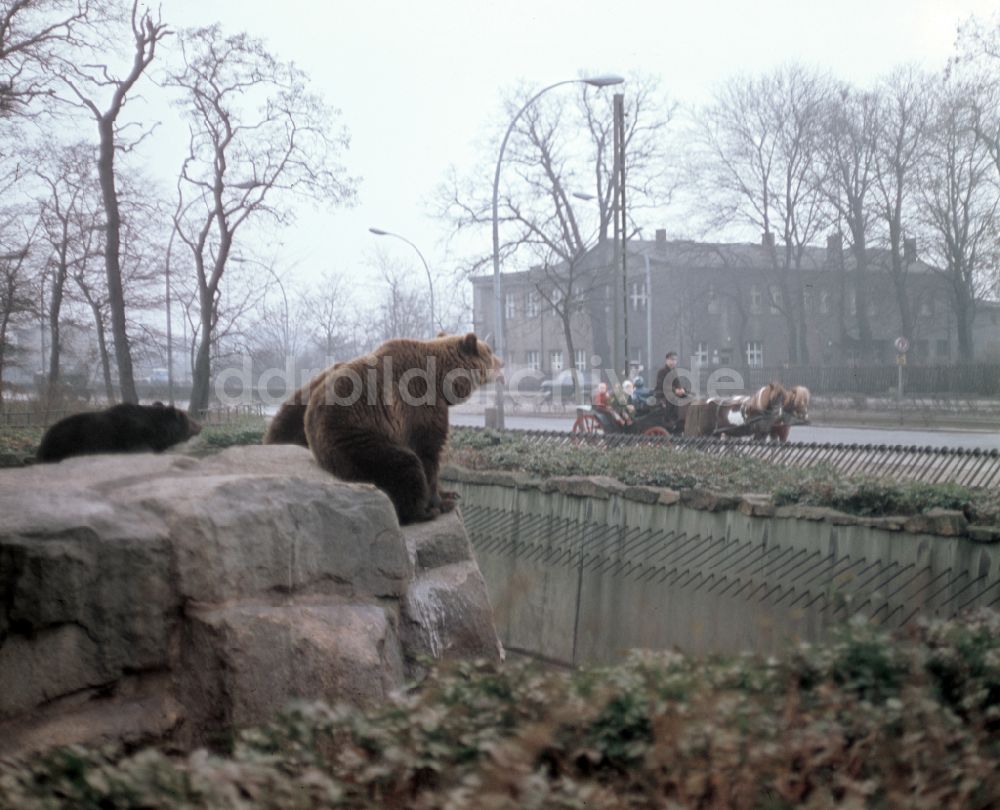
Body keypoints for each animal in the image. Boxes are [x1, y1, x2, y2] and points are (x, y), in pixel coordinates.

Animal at [298, 330, 498, 524]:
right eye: (489, 351)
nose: (500, 362)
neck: (441, 379)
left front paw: (449, 492)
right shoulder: (418, 405)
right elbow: (427, 452)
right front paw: (441, 501)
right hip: (354, 437)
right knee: (404, 464)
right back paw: (422, 512)